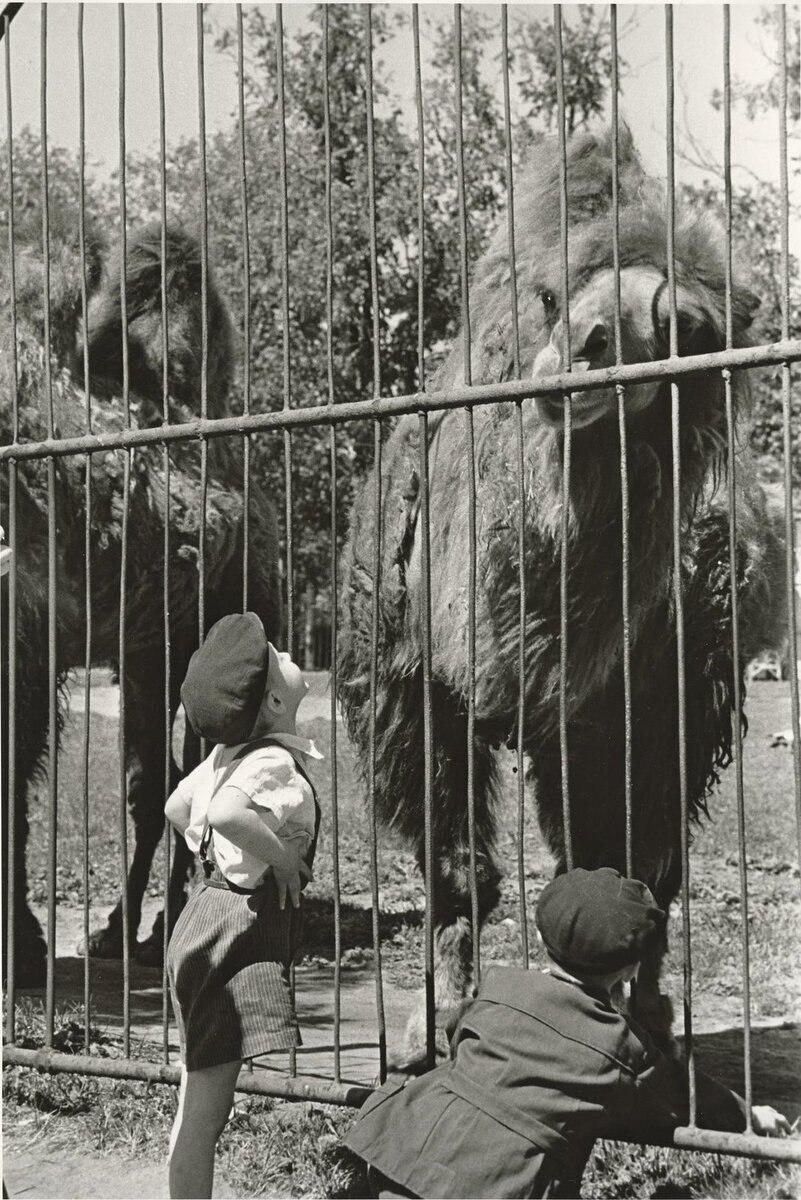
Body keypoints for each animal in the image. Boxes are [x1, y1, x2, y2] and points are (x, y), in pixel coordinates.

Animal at [0, 211, 281, 988]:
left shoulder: (25, 636)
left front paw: (23, 949)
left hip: (203, 636)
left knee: (178, 779)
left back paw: (148, 932)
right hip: (143, 650)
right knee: (157, 783)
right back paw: (124, 932)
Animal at [338, 126, 781, 1070]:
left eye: (685, 330)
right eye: (550, 298)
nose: (586, 345)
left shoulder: (648, 712)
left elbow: (637, 873)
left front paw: (646, 1020)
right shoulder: (413, 688)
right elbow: (460, 871)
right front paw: (428, 1026)